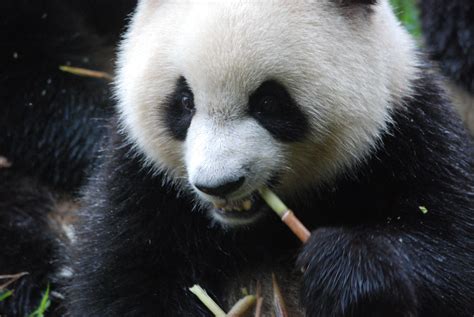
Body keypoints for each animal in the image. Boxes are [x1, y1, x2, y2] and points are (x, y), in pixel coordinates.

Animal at [65, 0, 472, 314]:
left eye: (269, 103)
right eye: (184, 101)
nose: (219, 184)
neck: (251, 229)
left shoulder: (406, 133)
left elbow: (452, 248)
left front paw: (343, 268)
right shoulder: (141, 183)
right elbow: (121, 284)